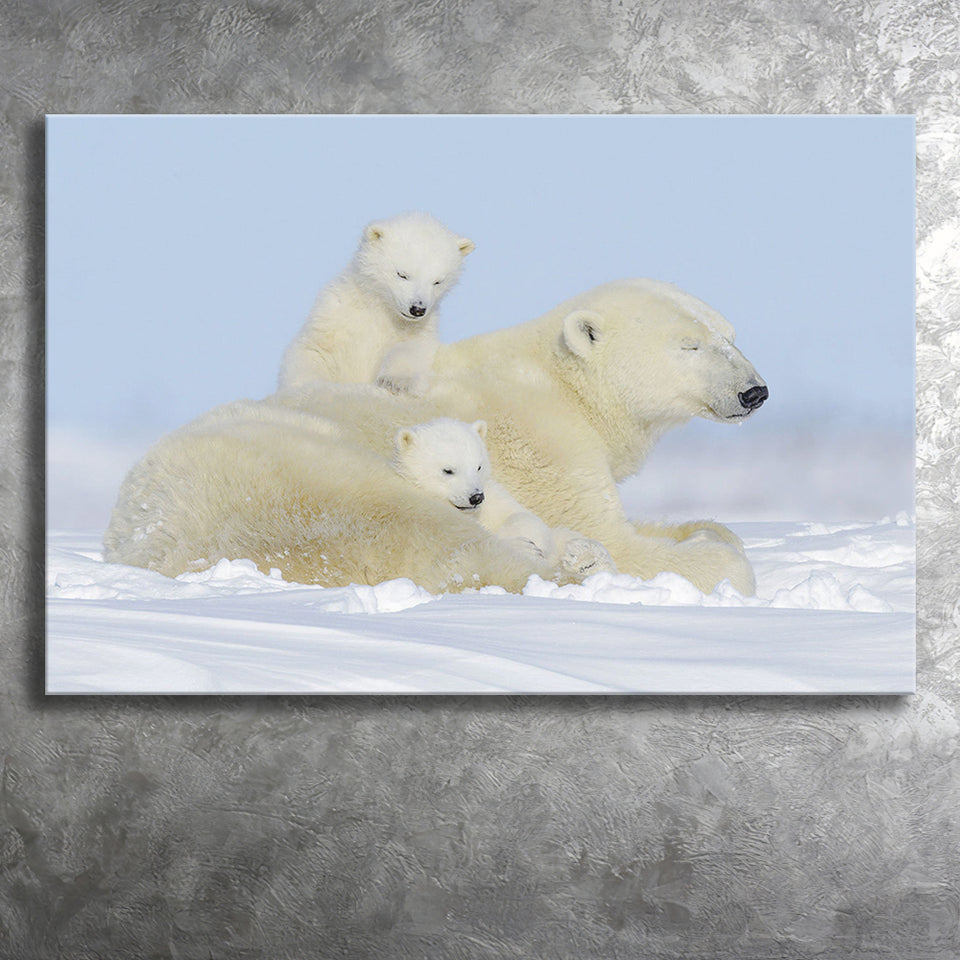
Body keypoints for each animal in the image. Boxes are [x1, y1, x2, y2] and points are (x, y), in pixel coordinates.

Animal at [278, 212, 474, 395]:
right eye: (402, 274)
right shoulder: (335, 314)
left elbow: (412, 348)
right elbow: (314, 350)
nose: (417, 309)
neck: (381, 308)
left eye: (438, 281)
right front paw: (310, 386)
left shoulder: (419, 327)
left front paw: (396, 381)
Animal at [391, 416, 617, 577]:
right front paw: (525, 548)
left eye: (478, 466)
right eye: (448, 470)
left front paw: (535, 546)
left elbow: (525, 517)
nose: (476, 497)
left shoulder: (494, 499)